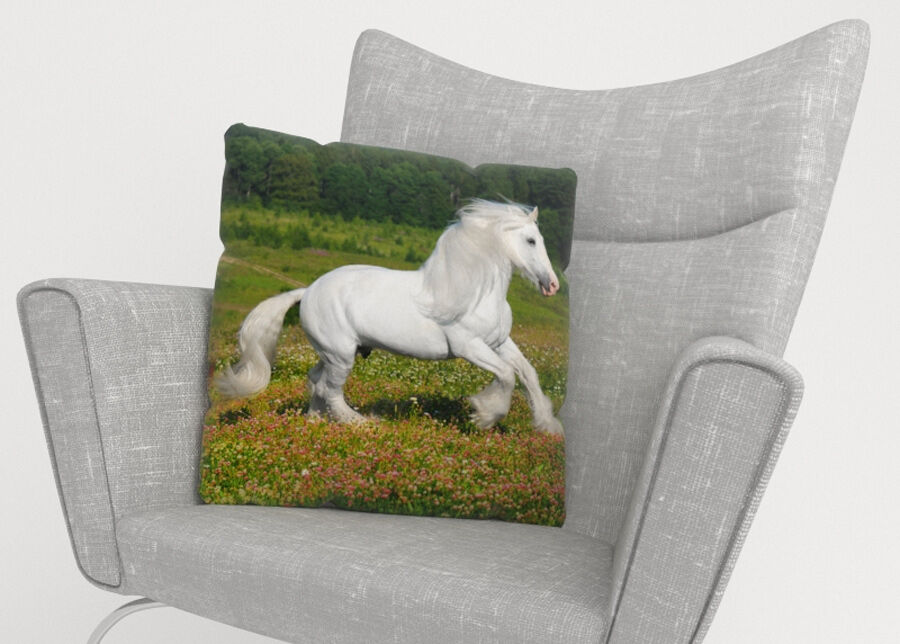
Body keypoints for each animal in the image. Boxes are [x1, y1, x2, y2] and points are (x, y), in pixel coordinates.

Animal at [214, 199, 564, 435]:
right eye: (531, 240)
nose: (552, 285)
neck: (474, 292)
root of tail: (308, 291)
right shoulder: (469, 346)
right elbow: (506, 375)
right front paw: (483, 414)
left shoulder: (499, 342)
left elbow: (527, 373)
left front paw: (548, 425)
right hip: (341, 354)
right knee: (330, 389)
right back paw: (361, 423)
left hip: (332, 353)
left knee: (315, 381)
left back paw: (314, 420)